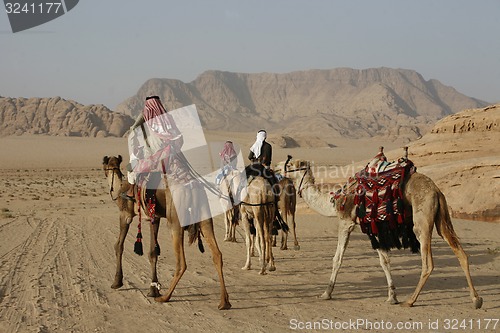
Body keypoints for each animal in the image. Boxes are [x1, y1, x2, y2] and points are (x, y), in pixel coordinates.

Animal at [105, 154, 232, 310]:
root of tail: (192, 186)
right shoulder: (154, 217)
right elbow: (153, 252)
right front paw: (153, 289)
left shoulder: (125, 215)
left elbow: (119, 246)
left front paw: (117, 282)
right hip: (205, 217)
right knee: (217, 255)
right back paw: (224, 302)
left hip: (175, 221)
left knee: (182, 262)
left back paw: (165, 297)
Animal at [280, 157, 482, 308]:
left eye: (289, 165)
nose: (276, 167)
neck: (335, 200)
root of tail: (437, 191)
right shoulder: (375, 227)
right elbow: (385, 261)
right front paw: (392, 296)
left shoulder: (346, 222)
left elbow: (337, 259)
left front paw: (326, 293)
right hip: (441, 218)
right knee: (461, 253)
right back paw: (476, 299)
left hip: (422, 220)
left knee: (428, 263)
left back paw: (410, 301)